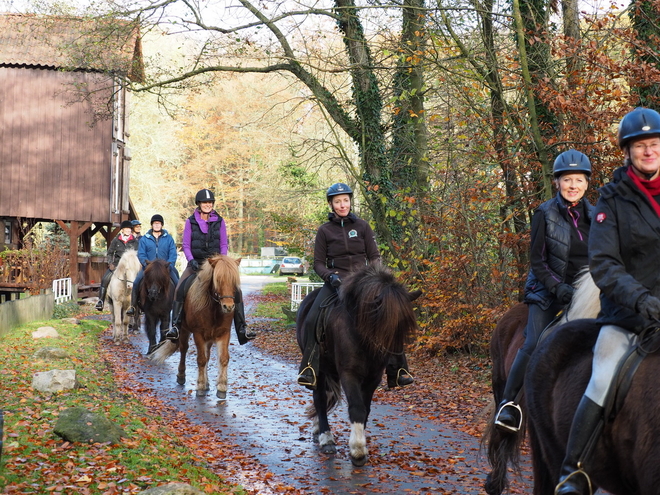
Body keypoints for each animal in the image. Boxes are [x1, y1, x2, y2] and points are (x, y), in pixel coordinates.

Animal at [151, 254, 241, 402]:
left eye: (234, 281)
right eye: (218, 280)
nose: (228, 307)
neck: (213, 308)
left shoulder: (223, 333)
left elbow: (223, 358)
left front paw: (221, 388)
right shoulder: (198, 334)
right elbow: (201, 359)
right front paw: (200, 386)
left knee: (207, 355)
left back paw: (207, 383)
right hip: (184, 330)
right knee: (184, 350)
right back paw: (181, 376)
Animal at [296, 266, 420, 466]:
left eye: (403, 327)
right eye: (383, 324)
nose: (395, 364)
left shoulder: (373, 377)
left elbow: (365, 409)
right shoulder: (349, 374)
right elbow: (356, 408)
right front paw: (358, 451)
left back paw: (317, 429)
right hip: (319, 370)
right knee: (320, 399)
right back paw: (326, 438)